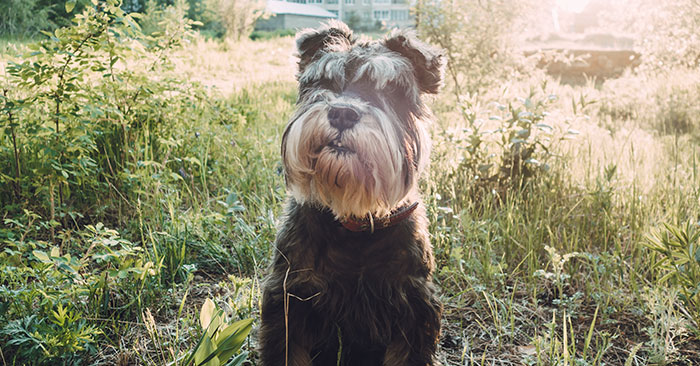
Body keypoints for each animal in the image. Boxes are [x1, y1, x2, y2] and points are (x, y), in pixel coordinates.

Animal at [260, 20, 446, 366]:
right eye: (322, 80)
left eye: (389, 89)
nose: (343, 113)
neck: (354, 221)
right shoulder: (290, 303)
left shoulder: (414, 311)